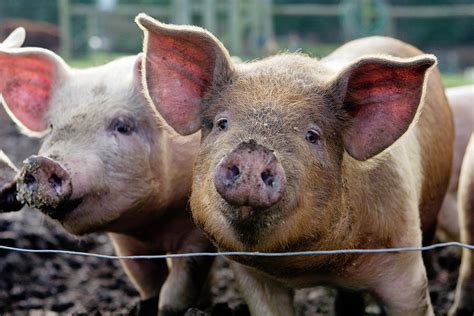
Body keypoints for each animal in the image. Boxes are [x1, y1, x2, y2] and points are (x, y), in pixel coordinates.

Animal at [0, 43, 213, 314]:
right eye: (51, 127)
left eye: (122, 126)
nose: (41, 164)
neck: (152, 224)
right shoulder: (125, 244)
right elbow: (147, 282)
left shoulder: (197, 232)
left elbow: (180, 283)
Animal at [135, 13, 454, 314]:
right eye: (221, 123)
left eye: (312, 135)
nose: (253, 149)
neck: (313, 267)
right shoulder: (252, 276)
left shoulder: (404, 259)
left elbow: (412, 300)